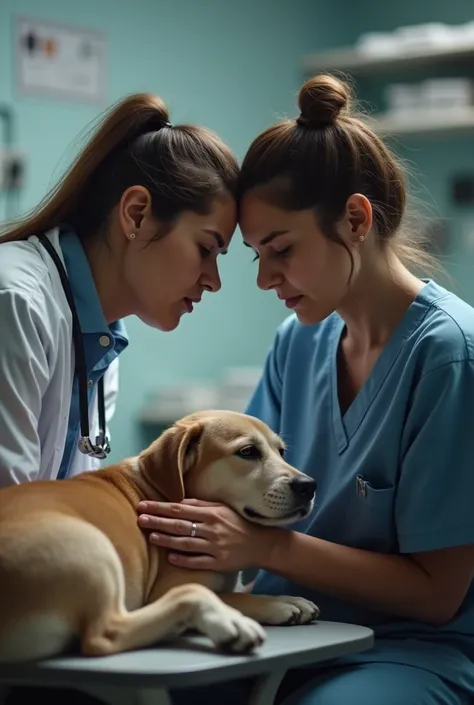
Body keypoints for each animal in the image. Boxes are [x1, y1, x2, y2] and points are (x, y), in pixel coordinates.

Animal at [0, 408, 318, 660]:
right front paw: (278, 603)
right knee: (105, 635)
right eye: (248, 451)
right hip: (89, 543)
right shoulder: (165, 588)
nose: (309, 485)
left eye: (281, 451)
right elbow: (232, 596)